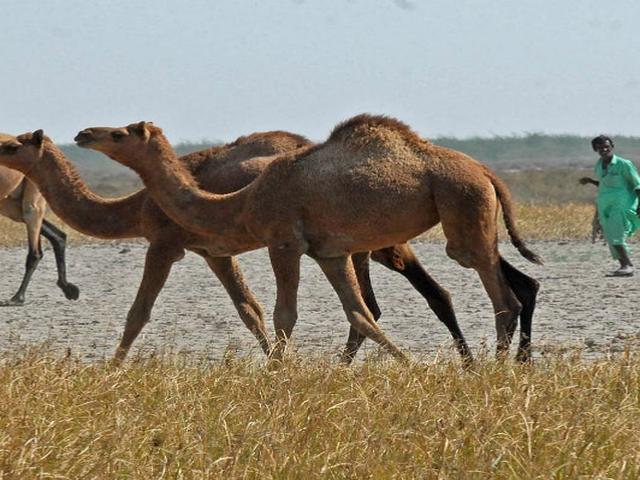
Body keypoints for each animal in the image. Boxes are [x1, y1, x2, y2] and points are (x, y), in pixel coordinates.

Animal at [0, 133, 78, 306]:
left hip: (31, 197)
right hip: (10, 204)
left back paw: (18, 298)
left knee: (35, 252)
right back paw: (67, 288)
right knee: (57, 235)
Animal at [72, 115, 542, 362]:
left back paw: (498, 367)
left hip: (462, 208)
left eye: (119, 133)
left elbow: (285, 315)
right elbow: (360, 313)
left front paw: (278, 372)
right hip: (468, 215)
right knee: (505, 292)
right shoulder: (329, 252)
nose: (83, 133)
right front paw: (404, 364)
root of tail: (488, 173)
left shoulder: (284, 242)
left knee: (502, 297)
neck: (244, 202)